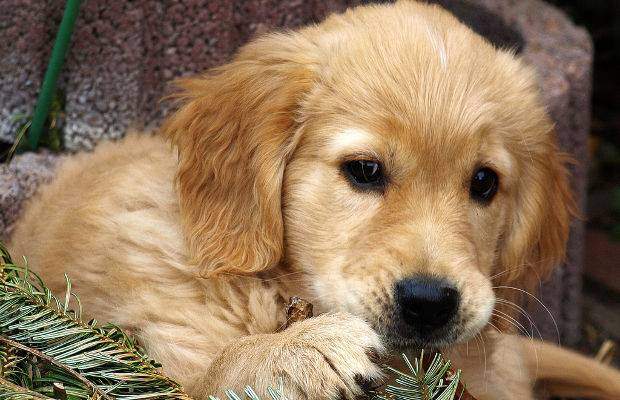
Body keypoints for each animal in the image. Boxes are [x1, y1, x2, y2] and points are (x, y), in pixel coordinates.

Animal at [8, 0, 620, 400]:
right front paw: (300, 350)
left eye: (485, 183)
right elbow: (209, 373)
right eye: (365, 170)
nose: (430, 303)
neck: (277, 289)